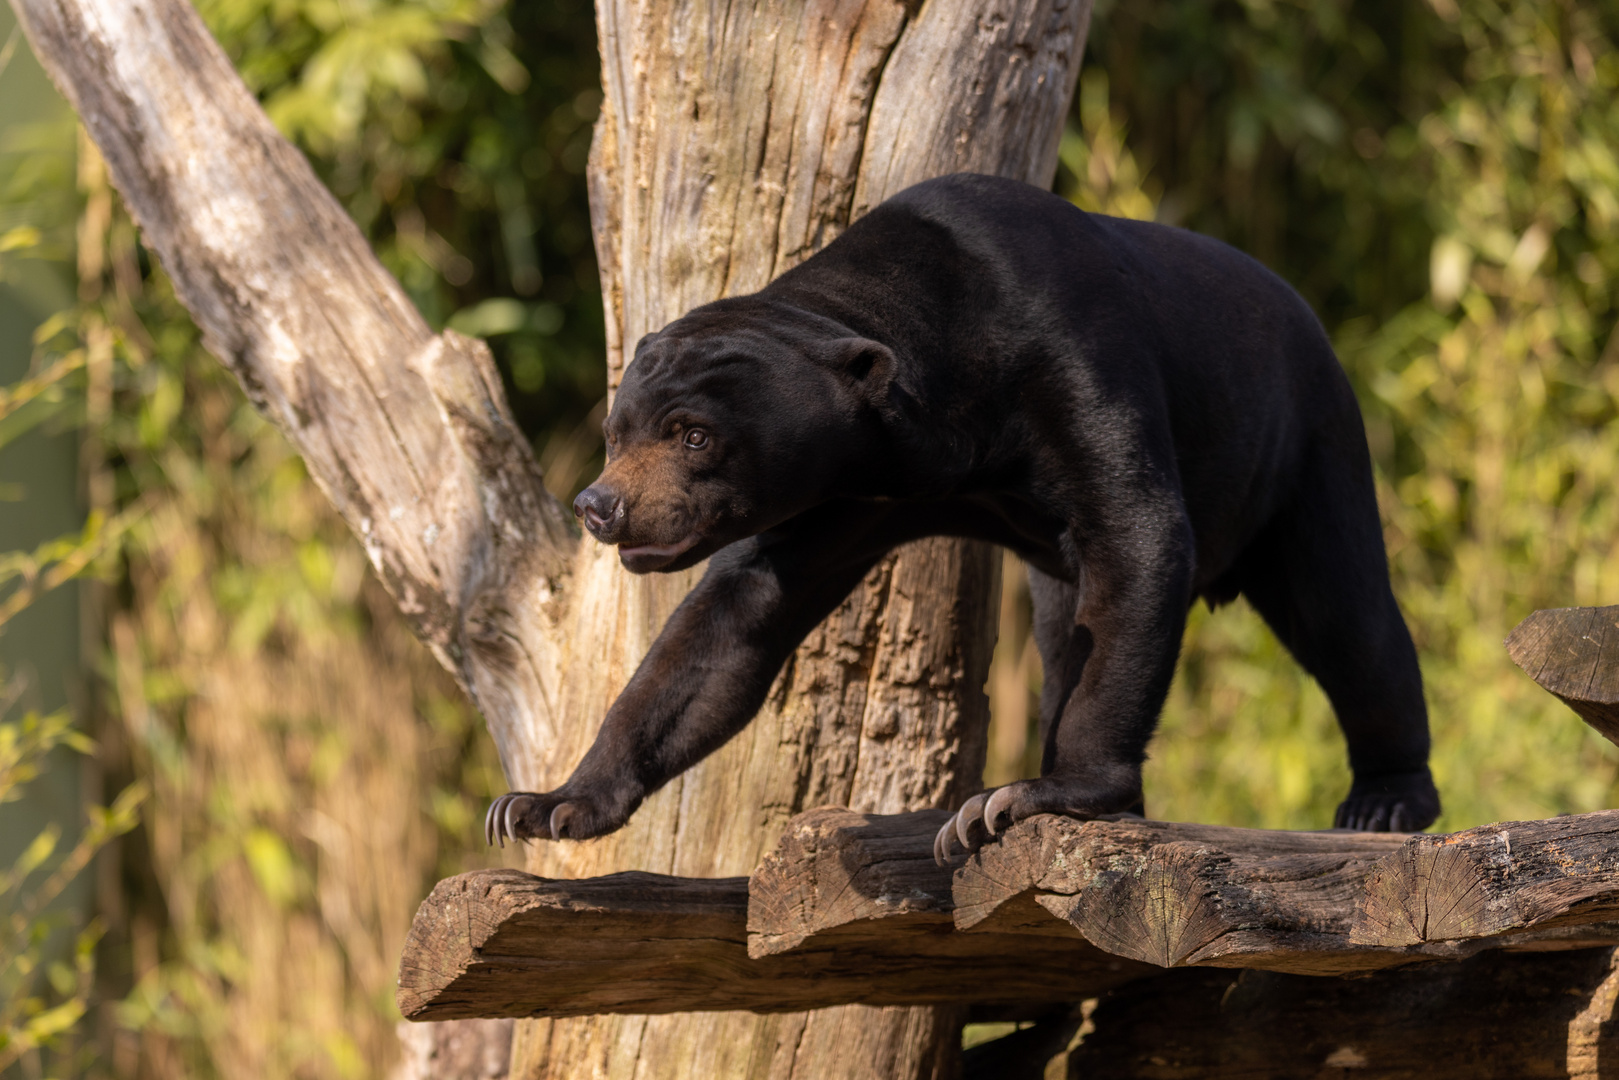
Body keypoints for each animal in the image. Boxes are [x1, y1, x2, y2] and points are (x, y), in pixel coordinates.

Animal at [479, 170, 1444, 861]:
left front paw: (1021, 801)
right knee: (1067, 638)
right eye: (617, 433)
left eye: (692, 435)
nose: (600, 506)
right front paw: (543, 805)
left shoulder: (1072, 349)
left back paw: (1384, 801)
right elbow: (726, 629)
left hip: (1309, 444)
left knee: (1346, 616)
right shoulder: (850, 492)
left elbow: (1139, 533)